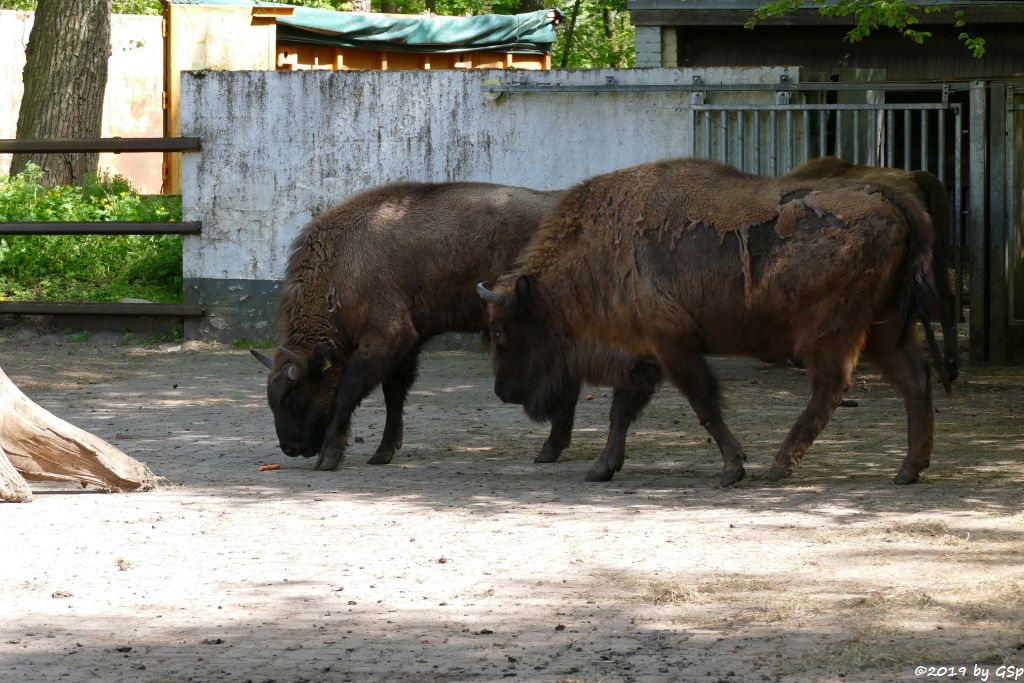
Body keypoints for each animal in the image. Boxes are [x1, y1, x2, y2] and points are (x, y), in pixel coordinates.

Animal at [249, 180, 585, 471]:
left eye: (294, 396)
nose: (290, 447)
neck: (340, 264)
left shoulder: (385, 337)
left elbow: (349, 390)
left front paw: (329, 457)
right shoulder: (406, 345)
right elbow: (393, 394)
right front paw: (382, 452)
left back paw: (548, 450)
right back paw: (551, 450)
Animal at [479, 156, 950, 485]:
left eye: (501, 331)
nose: (501, 391)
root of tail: (887, 196)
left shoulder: (673, 345)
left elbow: (703, 403)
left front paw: (732, 469)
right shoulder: (644, 354)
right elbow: (621, 413)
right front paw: (601, 468)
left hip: (831, 333)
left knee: (831, 387)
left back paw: (780, 466)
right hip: (885, 329)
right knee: (913, 377)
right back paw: (909, 469)